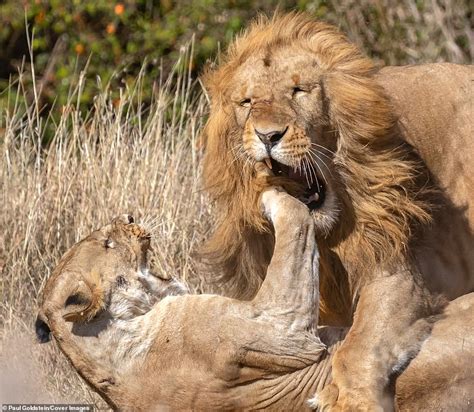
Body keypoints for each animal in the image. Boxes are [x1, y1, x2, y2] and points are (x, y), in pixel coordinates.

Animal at [201, 12, 474, 408]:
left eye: (299, 91)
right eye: (247, 102)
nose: (268, 135)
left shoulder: (403, 275)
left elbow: (358, 345)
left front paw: (347, 399)